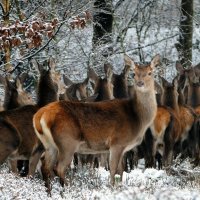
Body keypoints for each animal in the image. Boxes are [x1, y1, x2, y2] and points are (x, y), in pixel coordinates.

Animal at [32, 53, 160, 188]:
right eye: (134, 73)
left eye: (150, 72)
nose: (140, 83)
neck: (137, 118)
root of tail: (40, 115)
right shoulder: (117, 142)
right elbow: (113, 170)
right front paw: (112, 187)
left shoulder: (121, 147)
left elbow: (120, 172)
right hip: (67, 141)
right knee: (58, 168)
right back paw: (67, 188)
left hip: (49, 144)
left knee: (45, 167)